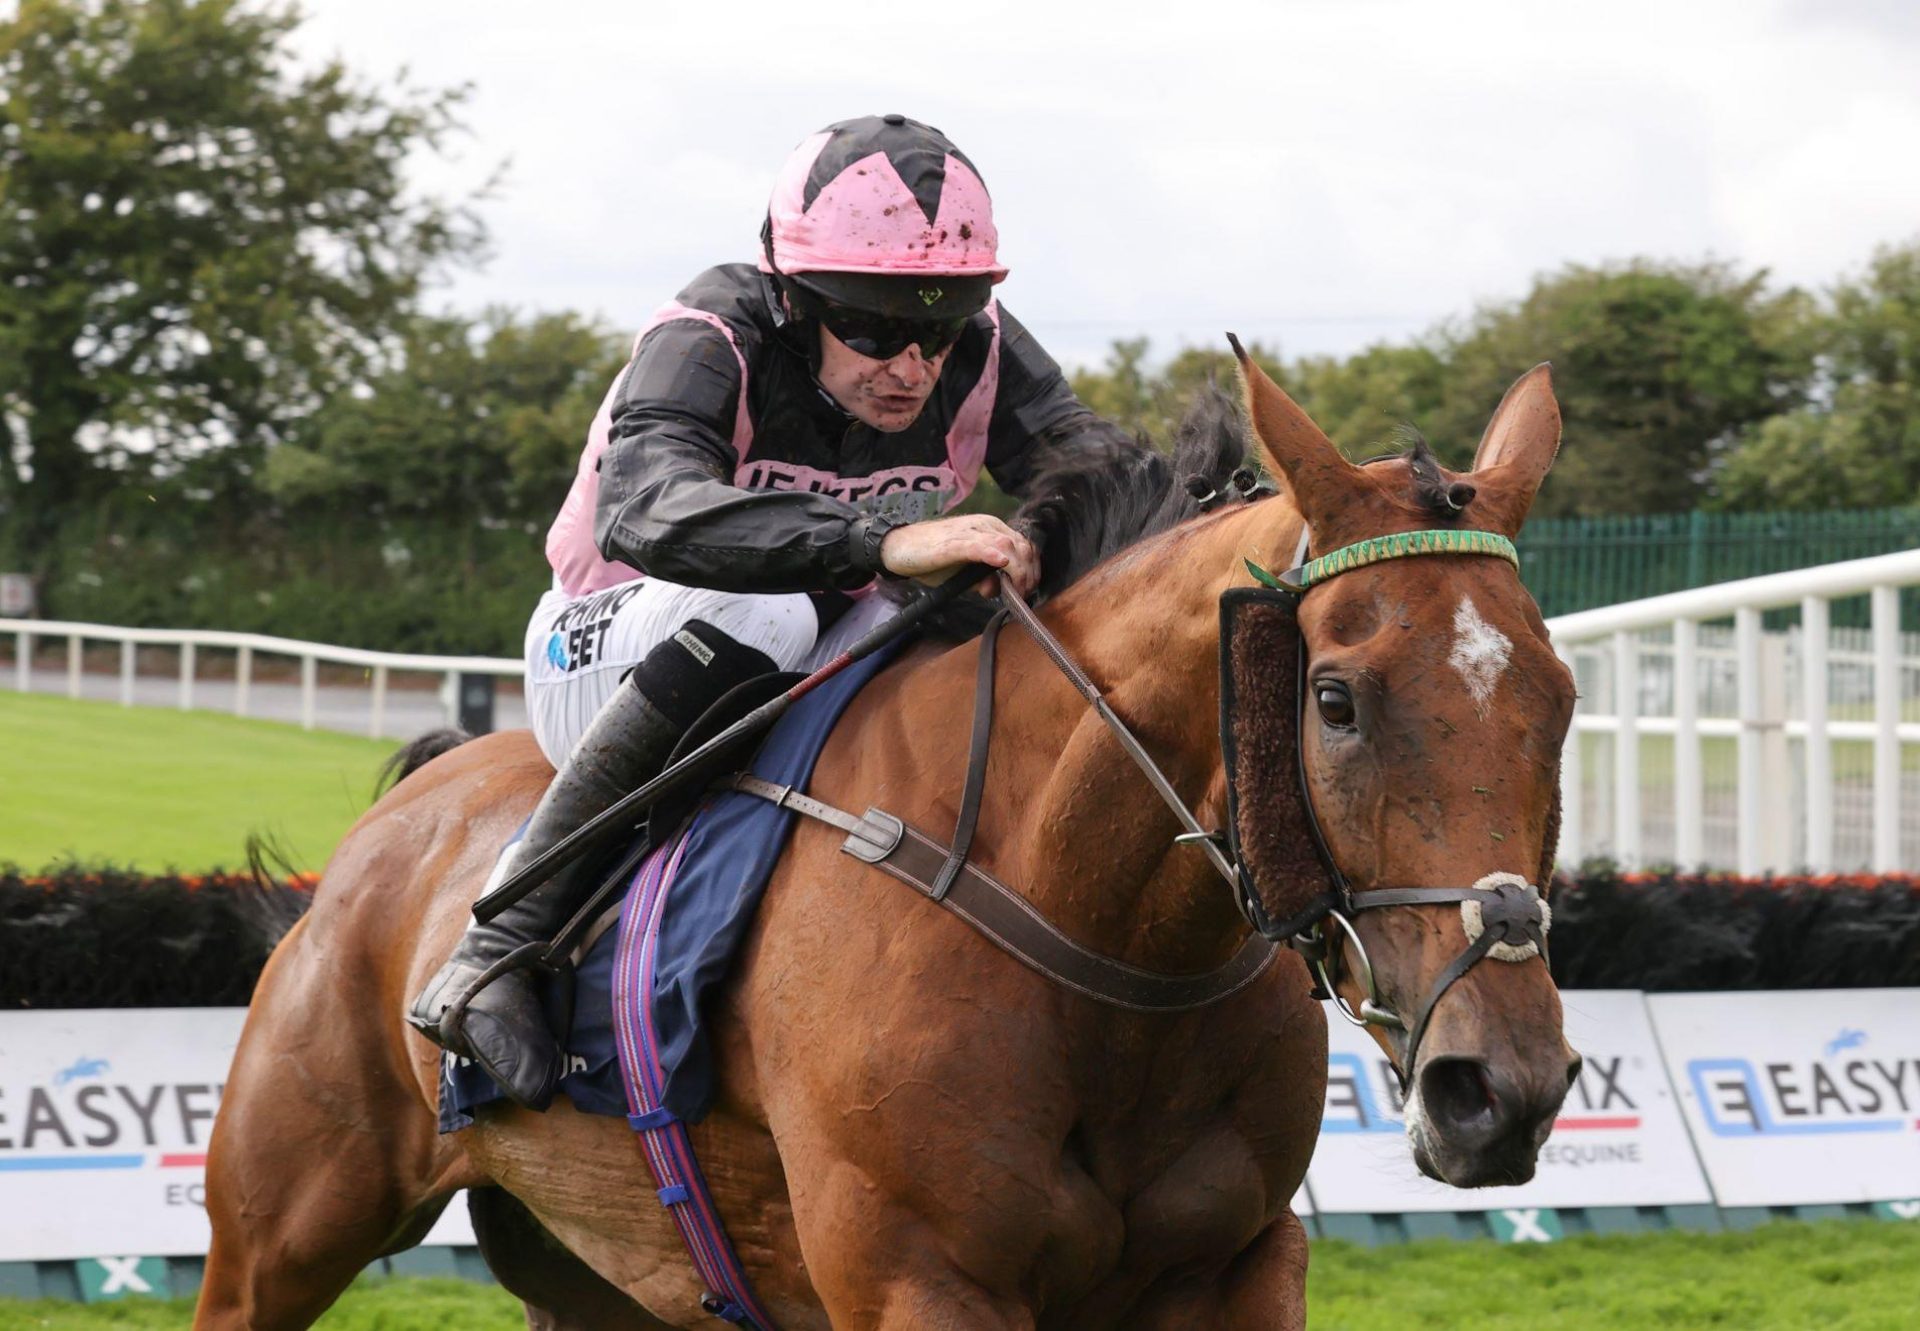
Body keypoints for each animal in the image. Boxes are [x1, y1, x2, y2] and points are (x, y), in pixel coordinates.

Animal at [191, 355, 1574, 1329]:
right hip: (279, 1229)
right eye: (1336, 698)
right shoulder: (918, 1277)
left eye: (1558, 698)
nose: (1499, 1086)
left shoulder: (1237, 1261)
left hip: (597, 1267)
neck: (1114, 956)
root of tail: (387, 828)